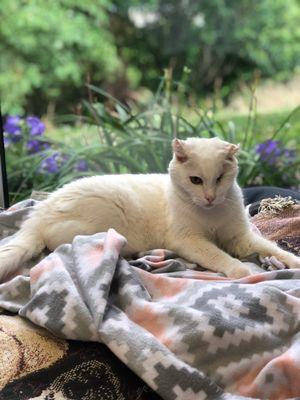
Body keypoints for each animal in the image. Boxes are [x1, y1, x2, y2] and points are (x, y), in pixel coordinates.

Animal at [0, 136, 300, 280]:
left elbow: (272, 249)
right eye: (196, 180)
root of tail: (38, 213)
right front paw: (241, 271)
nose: (210, 197)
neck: (211, 214)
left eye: (220, 179)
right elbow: (218, 255)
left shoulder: (240, 238)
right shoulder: (188, 240)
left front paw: (292, 262)